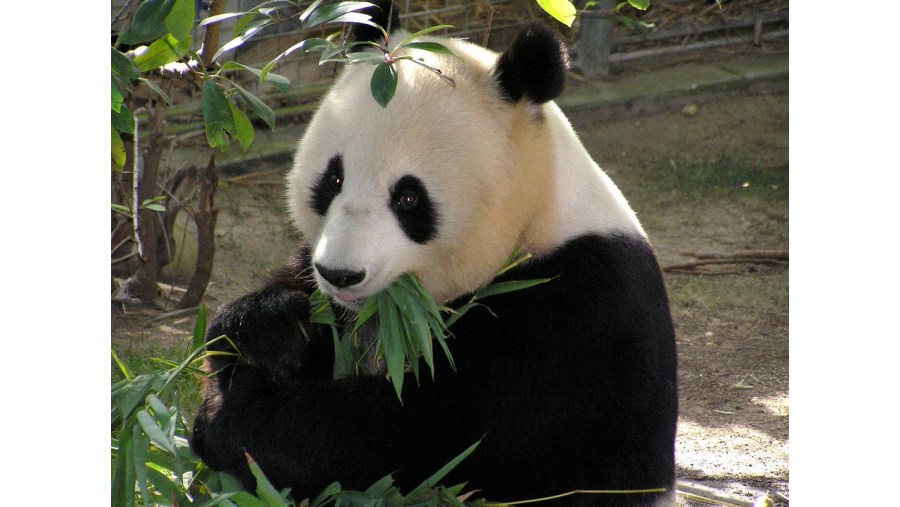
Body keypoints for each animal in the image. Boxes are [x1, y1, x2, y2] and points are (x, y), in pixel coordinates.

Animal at [193, 1, 680, 506]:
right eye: (333, 179)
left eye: (409, 198)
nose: (340, 274)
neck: (533, 221)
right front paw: (271, 330)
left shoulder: (574, 310)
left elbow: (431, 436)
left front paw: (233, 418)